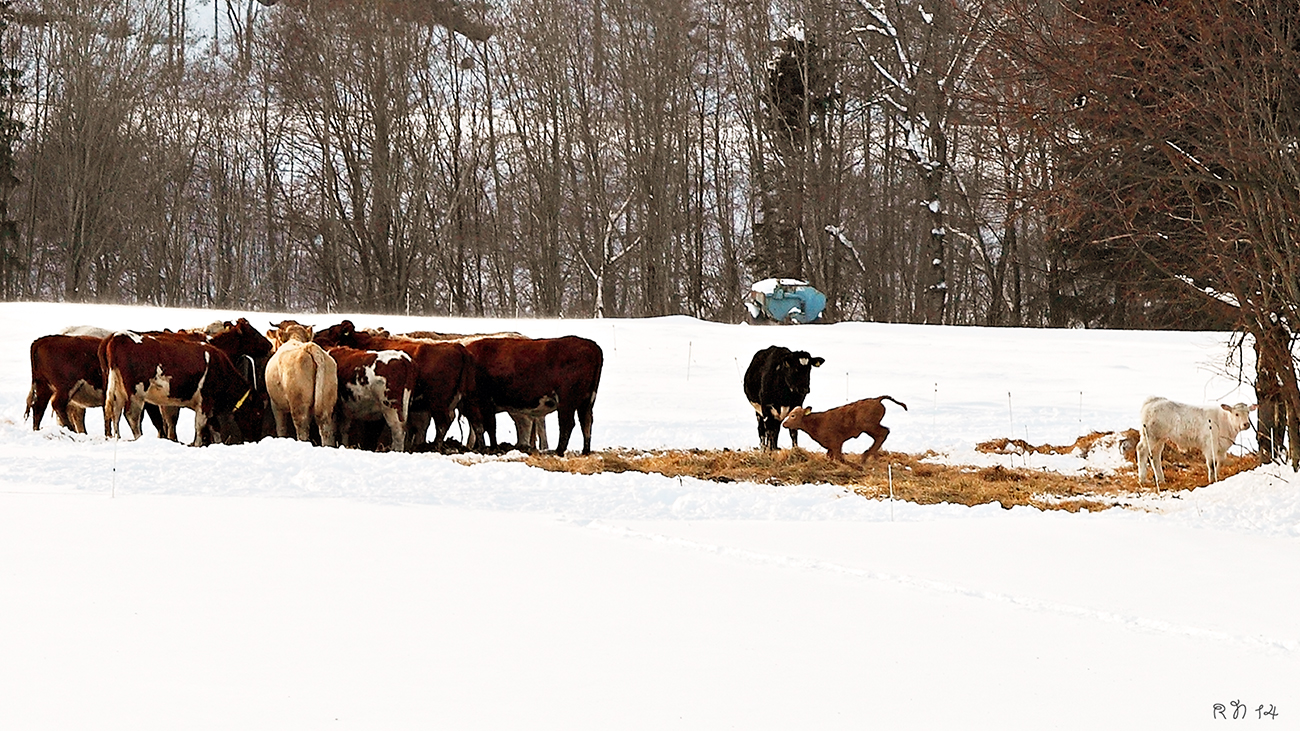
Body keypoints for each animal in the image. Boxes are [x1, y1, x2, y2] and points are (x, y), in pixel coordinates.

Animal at [103, 332, 254, 446]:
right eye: (257, 412)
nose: (254, 439)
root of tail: (118, 336)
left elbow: (209, 425)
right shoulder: (205, 401)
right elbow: (200, 425)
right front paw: (197, 443)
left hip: (118, 390)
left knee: (115, 412)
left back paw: (117, 437)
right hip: (136, 393)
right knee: (131, 415)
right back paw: (139, 437)